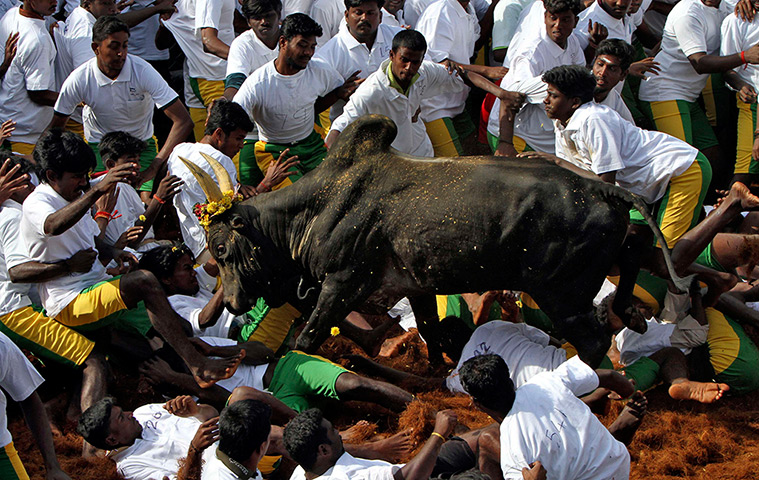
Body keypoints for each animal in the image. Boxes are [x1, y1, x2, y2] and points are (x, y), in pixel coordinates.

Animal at [184, 115, 686, 368]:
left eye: (223, 249)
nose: (232, 302)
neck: (315, 207)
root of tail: (603, 190)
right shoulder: (416, 287)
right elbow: (431, 333)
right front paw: (438, 372)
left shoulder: (342, 284)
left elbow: (306, 339)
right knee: (634, 251)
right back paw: (629, 312)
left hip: (563, 293)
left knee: (596, 343)